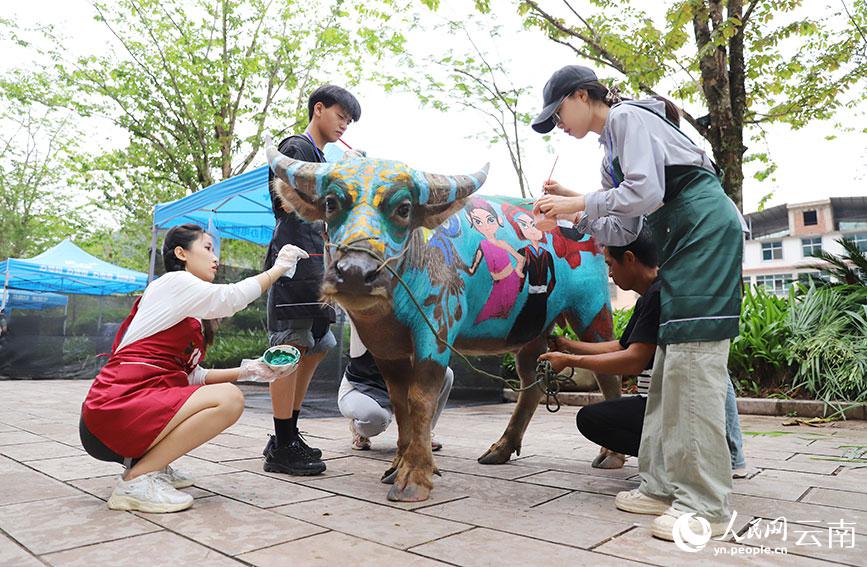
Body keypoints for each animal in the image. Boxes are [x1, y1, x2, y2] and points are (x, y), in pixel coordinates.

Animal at [268, 145, 620, 502]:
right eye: (331, 203)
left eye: (404, 208)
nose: (355, 271)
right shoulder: (385, 348)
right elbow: (399, 401)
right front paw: (397, 464)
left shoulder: (436, 329)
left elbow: (421, 398)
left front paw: (415, 476)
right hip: (533, 331)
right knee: (531, 383)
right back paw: (501, 449)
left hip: (592, 310)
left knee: (608, 369)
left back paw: (611, 455)